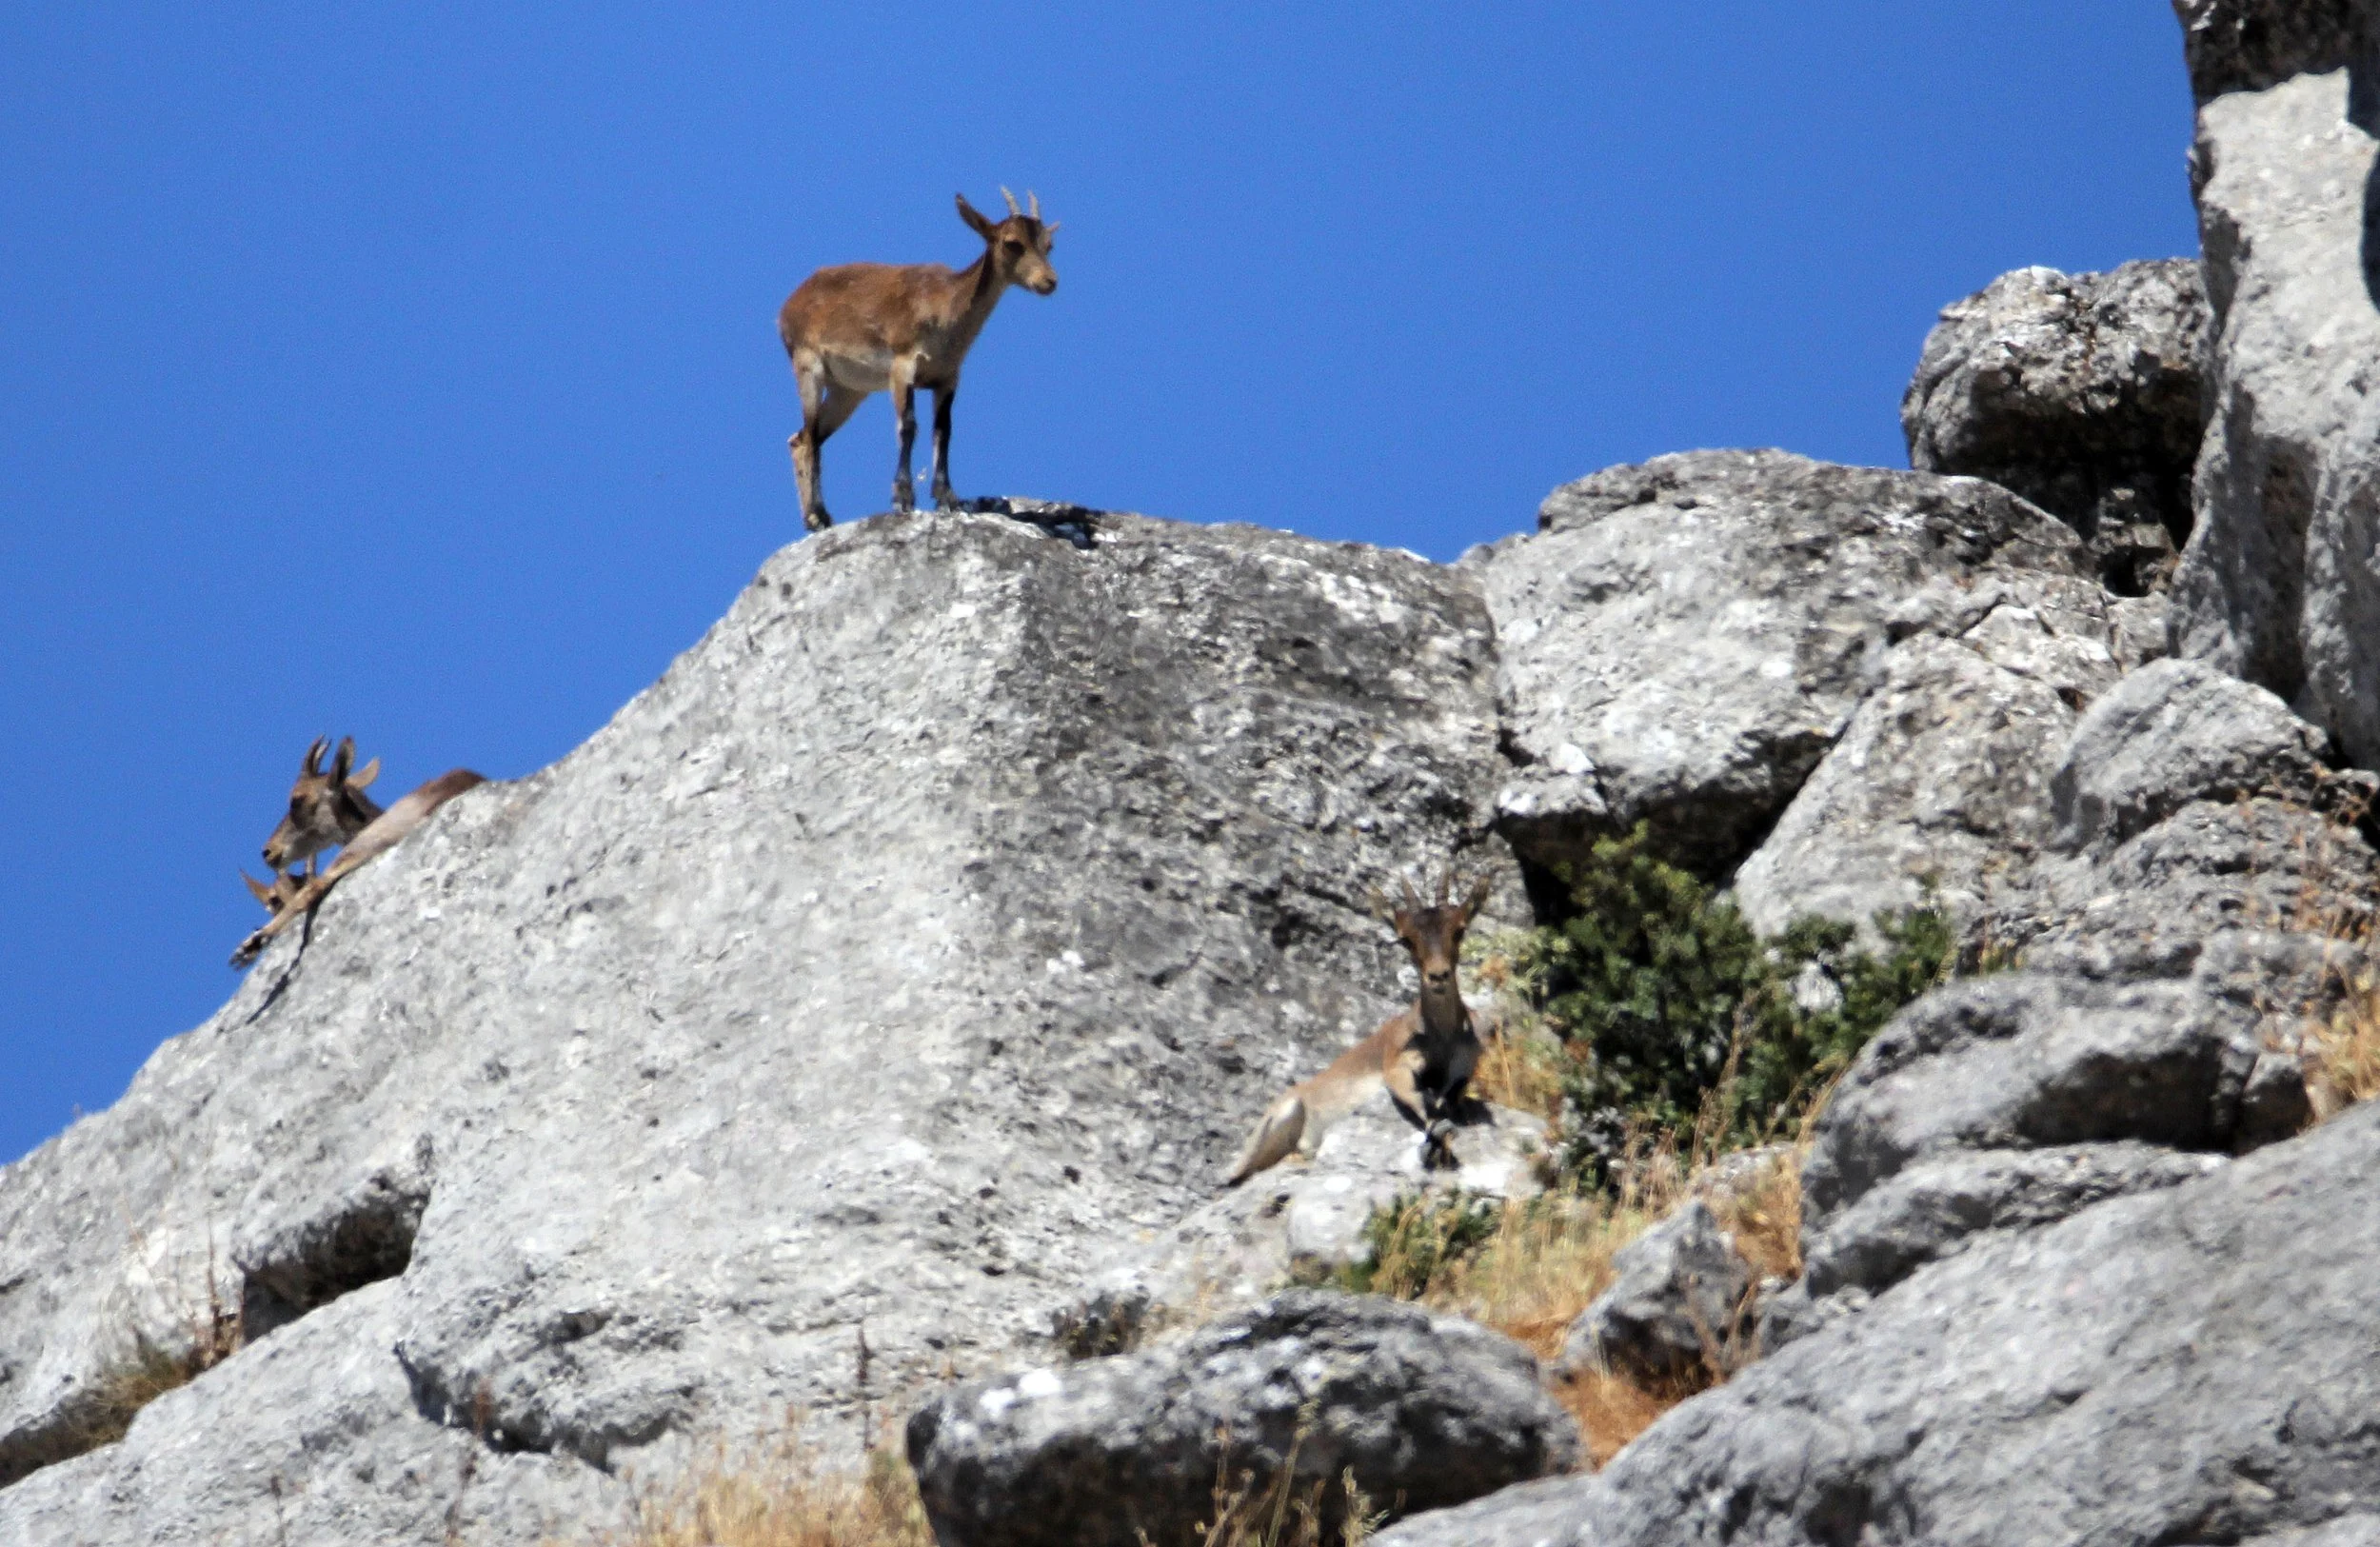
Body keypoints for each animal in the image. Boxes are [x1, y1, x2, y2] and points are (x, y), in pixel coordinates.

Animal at [778, 188, 1059, 532]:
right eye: (1012, 242)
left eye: (1048, 245)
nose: (1049, 281)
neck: (946, 308)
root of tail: (788, 307)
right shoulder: (902, 366)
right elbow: (909, 425)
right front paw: (903, 497)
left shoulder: (947, 377)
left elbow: (944, 430)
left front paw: (947, 496)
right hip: (808, 367)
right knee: (810, 437)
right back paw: (817, 514)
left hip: (849, 391)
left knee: (801, 438)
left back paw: (816, 517)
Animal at [1226, 869, 1495, 1186]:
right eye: (1405, 939)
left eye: (1459, 929)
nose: (1437, 976)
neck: (1442, 1036)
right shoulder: (1395, 1066)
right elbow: (1419, 1100)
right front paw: (1437, 1133)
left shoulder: (1463, 1069)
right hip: (1283, 1116)